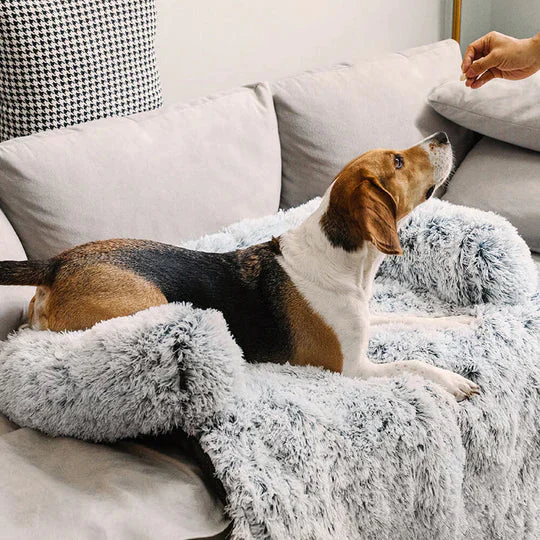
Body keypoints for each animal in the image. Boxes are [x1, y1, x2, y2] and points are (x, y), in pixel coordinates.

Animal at [1, 132, 480, 400]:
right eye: (397, 161)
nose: (442, 135)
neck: (346, 262)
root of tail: (58, 262)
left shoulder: (363, 321)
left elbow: (410, 318)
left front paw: (457, 323)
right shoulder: (353, 368)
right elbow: (412, 364)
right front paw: (452, 380)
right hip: (141, 303)